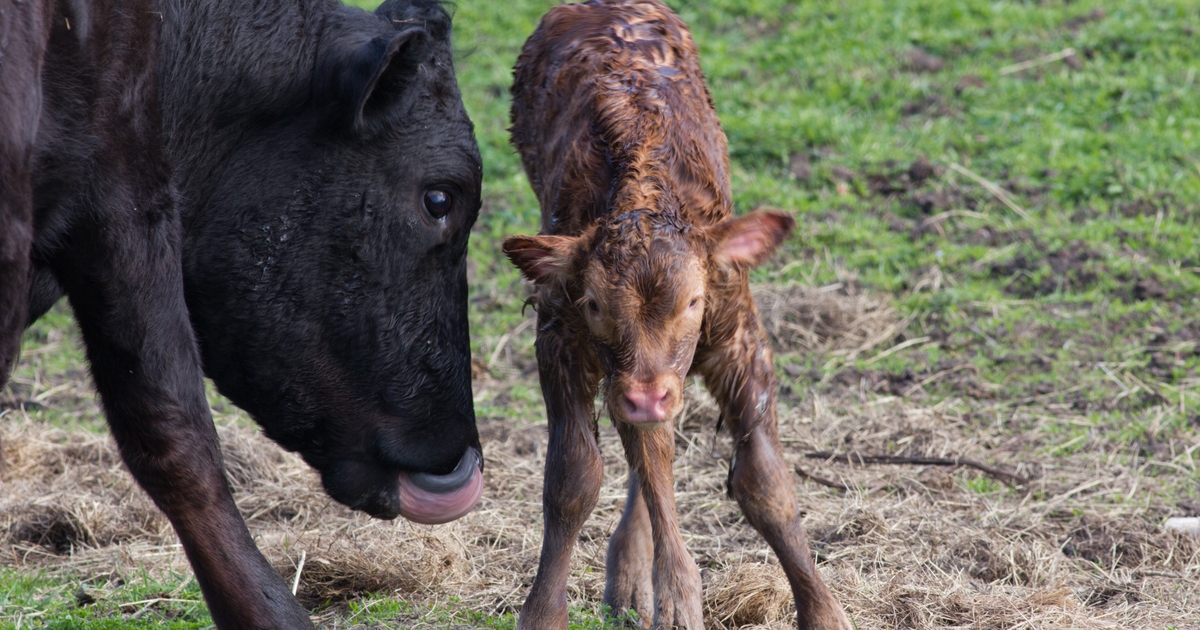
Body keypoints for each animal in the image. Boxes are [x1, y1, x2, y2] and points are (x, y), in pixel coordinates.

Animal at [504, 1, 854, 628]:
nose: (647, 394)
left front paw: (823, 612)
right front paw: (548, 611)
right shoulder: (561, 335)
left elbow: (766, 485)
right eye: (594, 302)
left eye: (694, 300)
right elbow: (575, 478)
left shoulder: (737, 333)